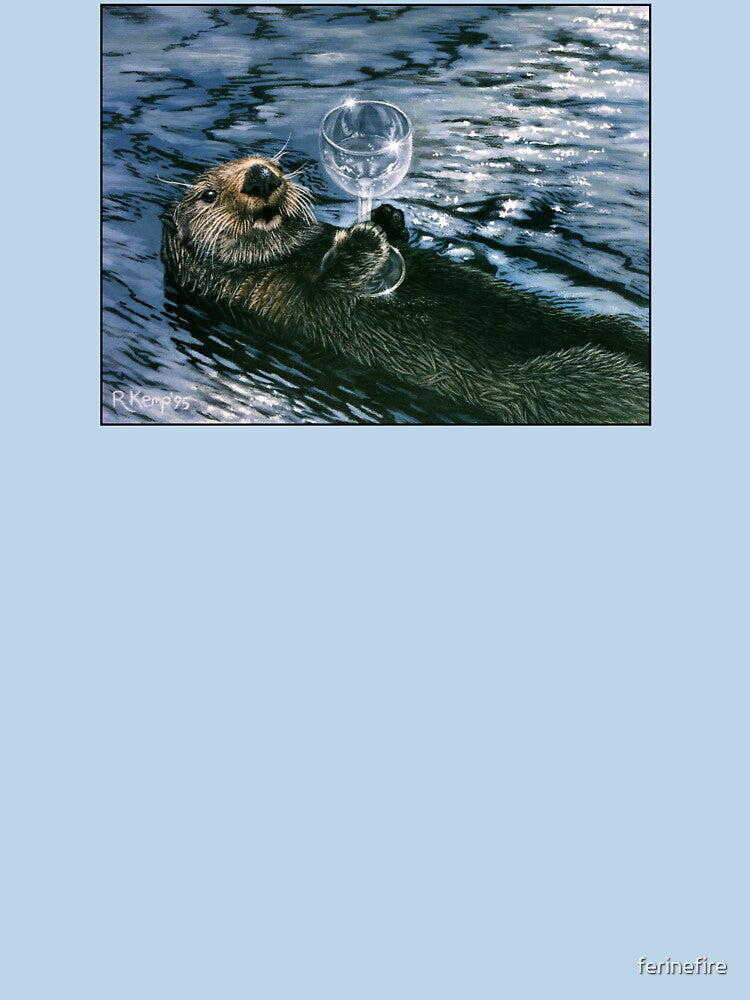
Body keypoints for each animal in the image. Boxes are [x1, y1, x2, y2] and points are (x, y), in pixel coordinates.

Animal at [161, 155, 649, 424]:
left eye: (276, 162)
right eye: (207, 195)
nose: (261, 175)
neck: (292, 257)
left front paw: (388, 219)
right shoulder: (273, 300)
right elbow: (328, 288)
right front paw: (365, 239)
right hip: (561, 382)